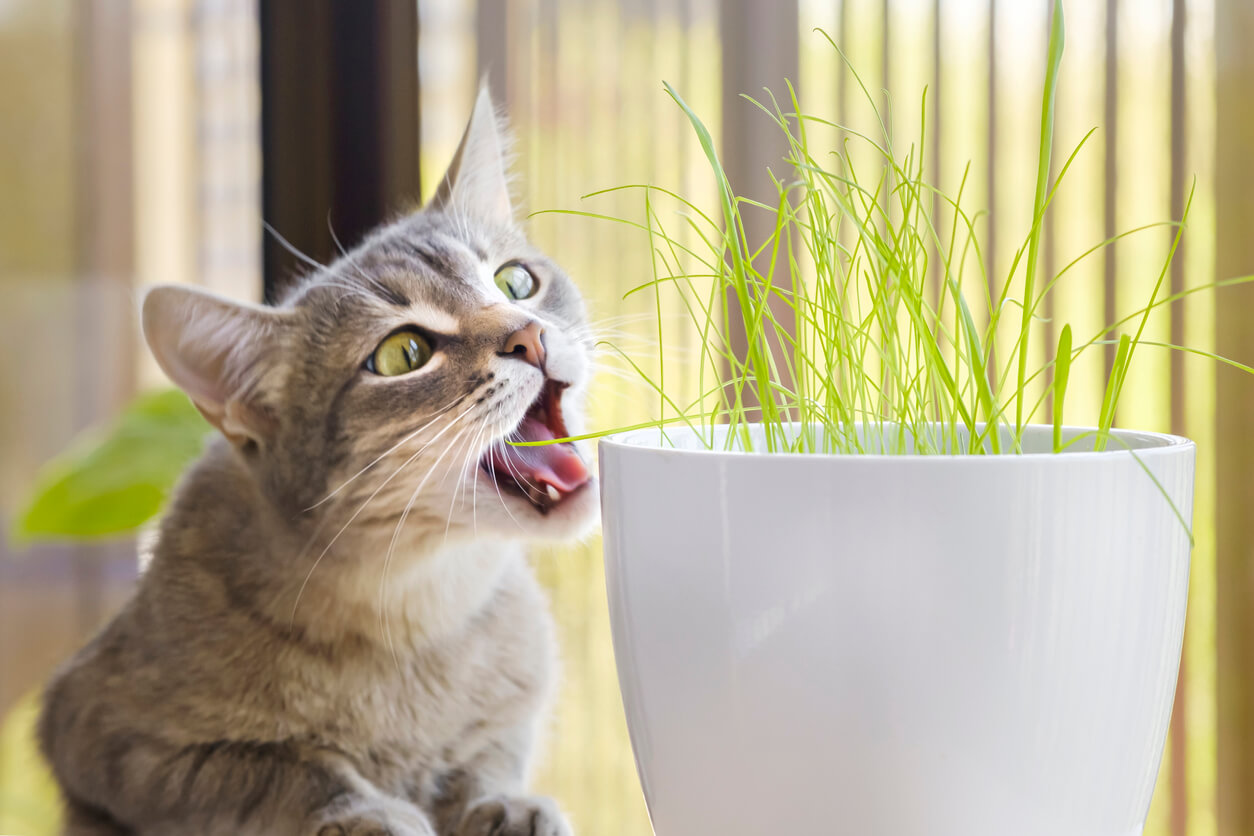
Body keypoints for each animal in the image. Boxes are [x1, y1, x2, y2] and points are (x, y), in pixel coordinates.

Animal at [31, 86, 594, 836]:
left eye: (516, 281)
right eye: (404, 353)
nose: (529, 335)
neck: (419, 615)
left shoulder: (510, 712)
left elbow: (485, 755)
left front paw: (499, 801)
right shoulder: (109, 737)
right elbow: (282, 767)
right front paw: (366, 810)